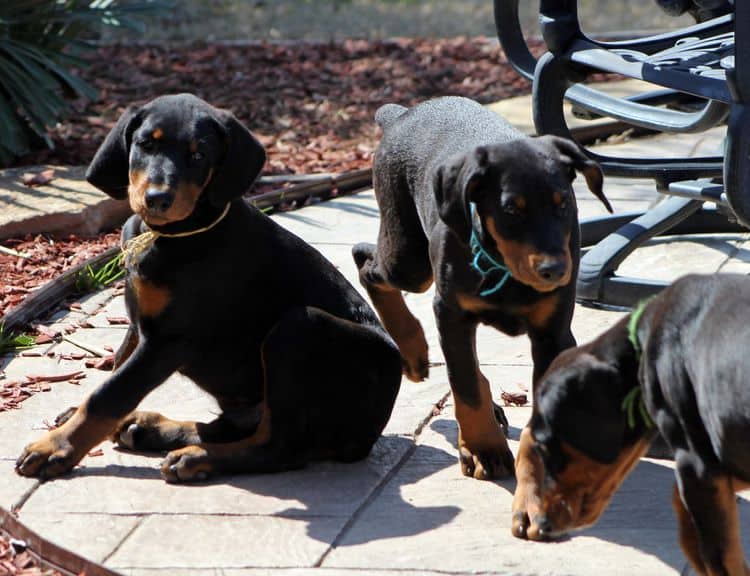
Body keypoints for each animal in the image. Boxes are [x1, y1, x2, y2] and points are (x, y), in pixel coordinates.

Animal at [14, 93, 402, 482]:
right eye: (146, 144)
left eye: (198, 155)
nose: (157, 198)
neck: (171, 235)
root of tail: (369, 436)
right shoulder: (139, 324)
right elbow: (117, 368)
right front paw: (74, 420)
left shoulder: (168, 340)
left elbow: (111, 394)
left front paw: (56, 447)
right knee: (235, 427)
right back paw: (152, 429)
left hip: (299, 329)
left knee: (279, 447)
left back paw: (197, 458)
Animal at [352, 98, 612, 482]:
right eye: (511, 210)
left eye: (563, 203)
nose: (556, 271)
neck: (505, 269)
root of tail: (401, 114)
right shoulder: (450, 313)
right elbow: (465, 386)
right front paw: (482, 450)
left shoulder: (552, 331)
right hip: (408, 258)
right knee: (365, 262)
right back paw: (412, 350)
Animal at [528, 274, 750, 576]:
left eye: (544, 447)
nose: (542, 525)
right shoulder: (719, 456)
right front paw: (692, 544)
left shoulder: (697, 462)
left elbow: (720, 553)